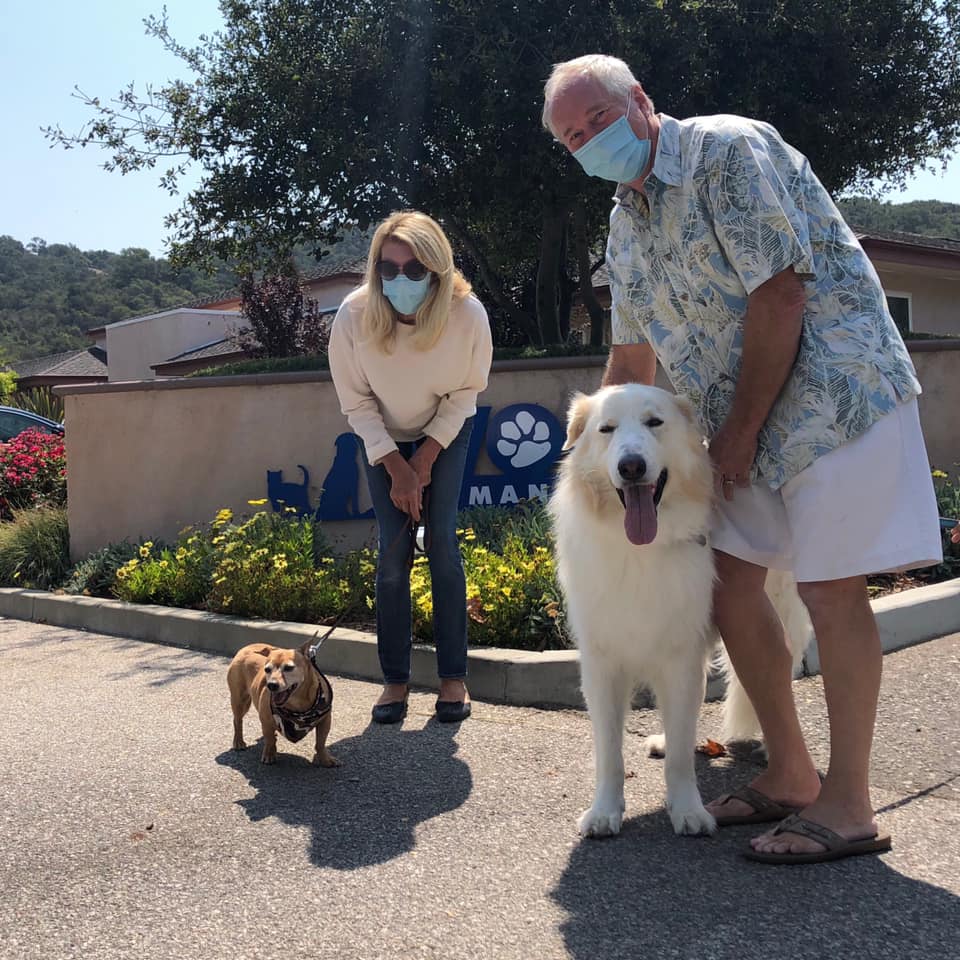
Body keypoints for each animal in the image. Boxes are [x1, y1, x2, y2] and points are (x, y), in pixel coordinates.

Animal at [228, 640, 340, 768]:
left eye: (288, 668)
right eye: (267, 670)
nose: (271, 685)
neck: (297, 702)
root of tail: (246, 647)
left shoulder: (325, 720)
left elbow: (321, 742)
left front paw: (325, 759)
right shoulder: (266, 720)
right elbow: (269, 739)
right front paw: (269, 754)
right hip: (240, 700)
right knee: (237, 720)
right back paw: (238, 741)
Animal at [548, 386, 808, 836]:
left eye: (654, 423)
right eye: (606, 429)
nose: (631, 466)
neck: (639, 550)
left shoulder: (680, 657)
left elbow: (683, 758)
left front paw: (688, 810)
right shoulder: (602, 664)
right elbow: (610, 752)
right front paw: (604, 812)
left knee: (780, 677)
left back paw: (772, 749)